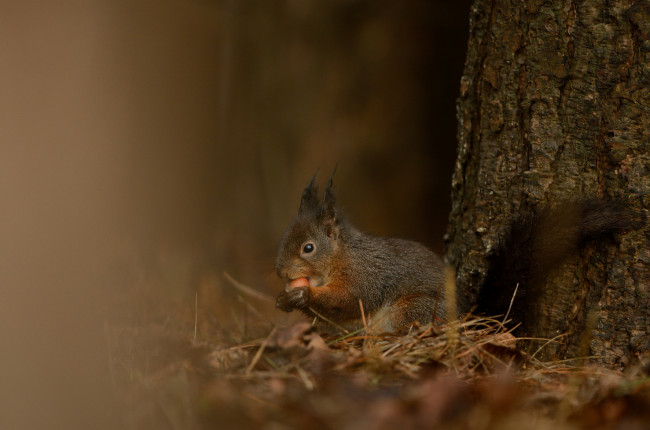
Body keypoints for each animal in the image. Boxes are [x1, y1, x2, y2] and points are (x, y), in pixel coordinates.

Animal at [272, 173, 636, 334]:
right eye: (283, 240)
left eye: (308, 248)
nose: (280, 273)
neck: (339, 258)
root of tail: (468, 320)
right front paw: (283, 299)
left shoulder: (365, 274)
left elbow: (352, 300)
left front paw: (303, 297)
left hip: (414, 310)